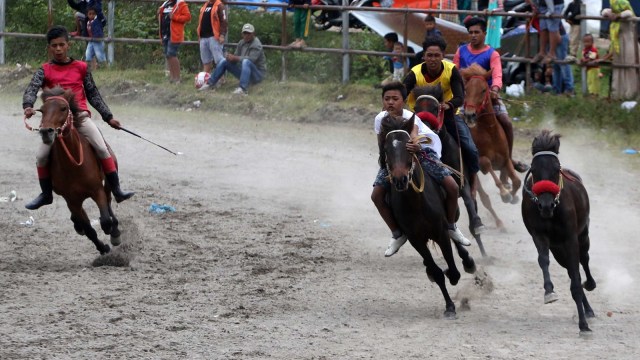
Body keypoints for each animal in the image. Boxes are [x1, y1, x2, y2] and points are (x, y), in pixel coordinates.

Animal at [34, 87, 121, 255]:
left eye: (63, 108)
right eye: (41, 110)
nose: (46, 132)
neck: (73, 165)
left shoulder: (97, 190)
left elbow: (105, 220)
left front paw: (111, 231)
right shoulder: (72, 200)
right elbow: (89, 229)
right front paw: (103, 248)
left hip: (107, 179)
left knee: (109, 200)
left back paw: (115, 231)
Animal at [380, 112, 476, 318]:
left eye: (408, 147)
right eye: (386, 149)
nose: (400, 179)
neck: (416, 203)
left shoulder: (440, 231)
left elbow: (452, 268)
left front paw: (453, 275)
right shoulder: (415, 239)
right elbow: (437, 271)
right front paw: (449, 306)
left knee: (453, 233)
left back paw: (467, 259)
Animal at [460, 64, 520, 205]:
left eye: (483, 90)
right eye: (466, 90)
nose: (470, 115)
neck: (490, 133)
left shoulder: (506, 159)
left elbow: (517, 181)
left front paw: (512, 195)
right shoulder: (480, 161)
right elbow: (486, 163)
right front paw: (505, 194)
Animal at [520, 131, 596, 334]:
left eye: (556, 168)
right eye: (534, 169)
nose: (546, 205)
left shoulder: (570, 238)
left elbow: (577, 275)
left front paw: (583, 324)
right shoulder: (539, 235)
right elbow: (543, 260)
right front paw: (549, 291)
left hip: (582, 236)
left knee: (583, 260)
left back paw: (590, 291)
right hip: (558, 250)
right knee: (570, 268)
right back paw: (587, 308)